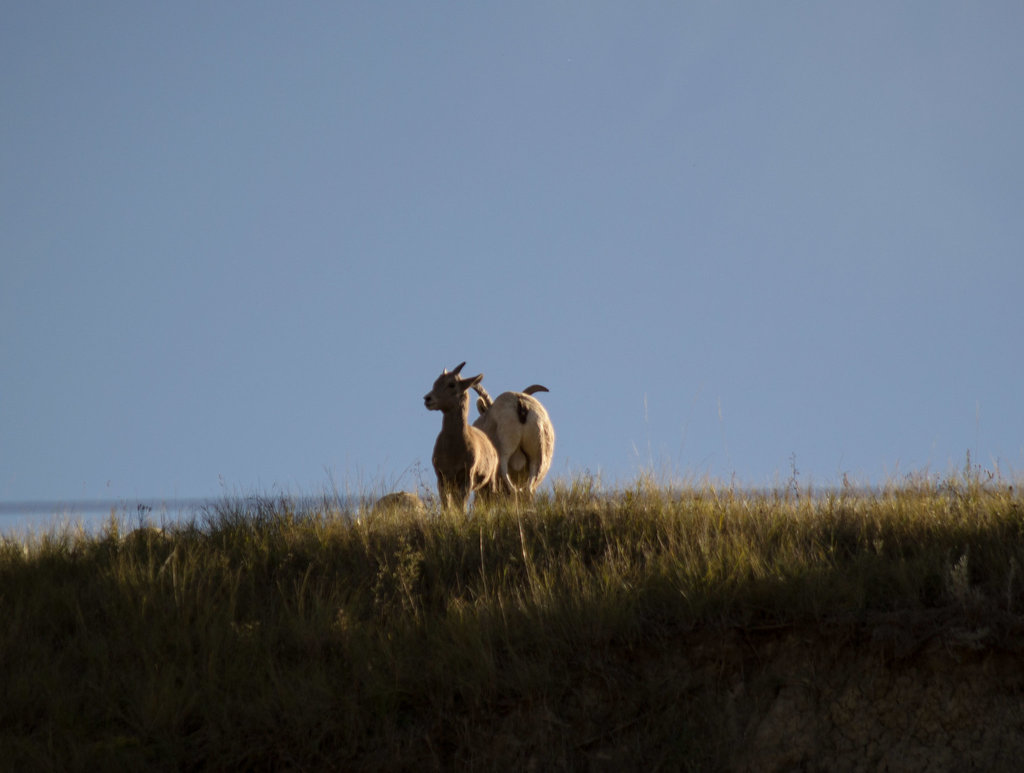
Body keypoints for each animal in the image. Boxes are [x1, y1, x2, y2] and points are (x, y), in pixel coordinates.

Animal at [423, 364, 499, 511]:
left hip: (489, 482)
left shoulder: (466, 477)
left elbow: (461, 505)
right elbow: (446, 505)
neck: (453, 449)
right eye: (436, 382)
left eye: (451, 384)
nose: (427, 399)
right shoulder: (442, 477)